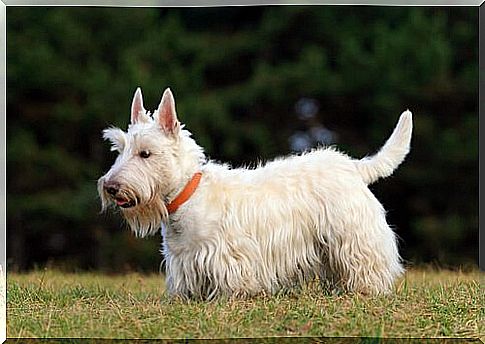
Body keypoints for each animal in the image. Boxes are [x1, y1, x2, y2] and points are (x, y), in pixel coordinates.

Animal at [98, 88, 412, 298]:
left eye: (146, 153)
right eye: (119, 150)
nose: (111, 187)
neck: (188, 193)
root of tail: (352, 166)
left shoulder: (228, 257)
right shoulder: (183, 261)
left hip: (353, 235)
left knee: (366, 263)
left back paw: (366, 290)